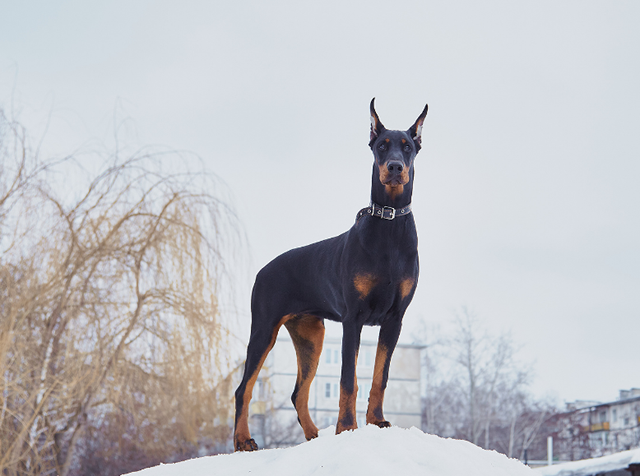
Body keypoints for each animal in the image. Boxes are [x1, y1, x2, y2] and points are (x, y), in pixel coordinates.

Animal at [232, 98, 428, 452]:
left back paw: (313, 437)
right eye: (382, 146)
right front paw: (347, 427)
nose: (395, 167)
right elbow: (348, 379)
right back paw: (243, 439)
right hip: (264, 329)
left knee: (298, 393)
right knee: (245, 388)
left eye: (407, 147)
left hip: (311, 335)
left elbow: (380, 377)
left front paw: (377, 421)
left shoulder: (394, 319)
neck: (390, 224)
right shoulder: (353, 317)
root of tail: (263, 270)